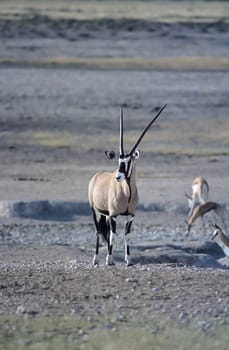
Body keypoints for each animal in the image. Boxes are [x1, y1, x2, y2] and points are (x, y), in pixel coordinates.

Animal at [88, 104, 166, 266]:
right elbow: (113, 236)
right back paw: (95, 259)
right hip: (95, 211)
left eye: (129, 161)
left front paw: (128, 260)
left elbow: (127, 235)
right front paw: (109, 260)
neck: (127, 193)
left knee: (104, 232)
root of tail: (96, 176)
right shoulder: (114, 215)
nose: (118, 177)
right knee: (98, 231)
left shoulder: (130, 215)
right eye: (118, 161)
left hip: (105, 214)